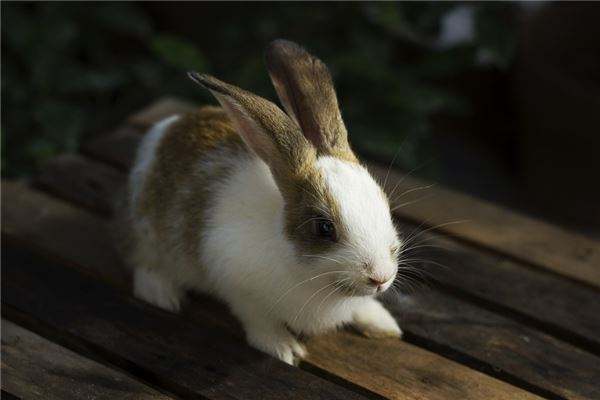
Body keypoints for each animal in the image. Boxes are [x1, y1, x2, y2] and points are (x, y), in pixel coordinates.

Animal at [127, 39, 404, 364]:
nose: (380, 277)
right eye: (324, 228)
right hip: (147, 231)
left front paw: (383, 323)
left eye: (384, 204)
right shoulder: (237, 284)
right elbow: (258, 320)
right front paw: (283, 348)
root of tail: (167, 128)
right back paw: (162, 295)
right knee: (144, 262)